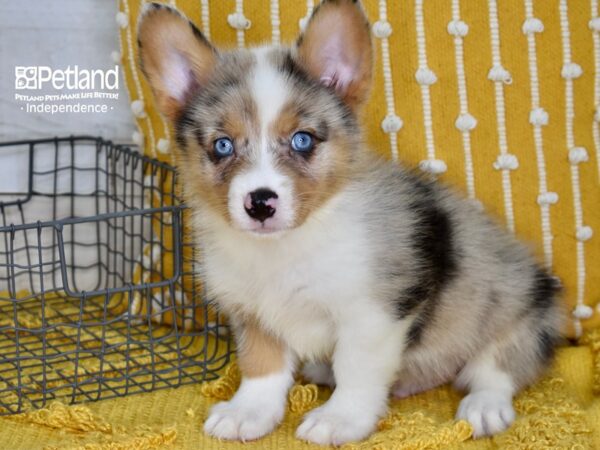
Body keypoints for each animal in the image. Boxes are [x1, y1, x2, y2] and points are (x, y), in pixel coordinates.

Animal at [137, 0, 564, 442]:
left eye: (302, 139)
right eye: (222, 145)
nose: (260, 204)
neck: (289, 246)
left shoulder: (371, 315)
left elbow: (356, 371)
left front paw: (339, 418)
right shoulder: (254, 314)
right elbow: (261, 366)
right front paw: (248, 412)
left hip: (511, 310)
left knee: (496, 368)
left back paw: (484, 406)